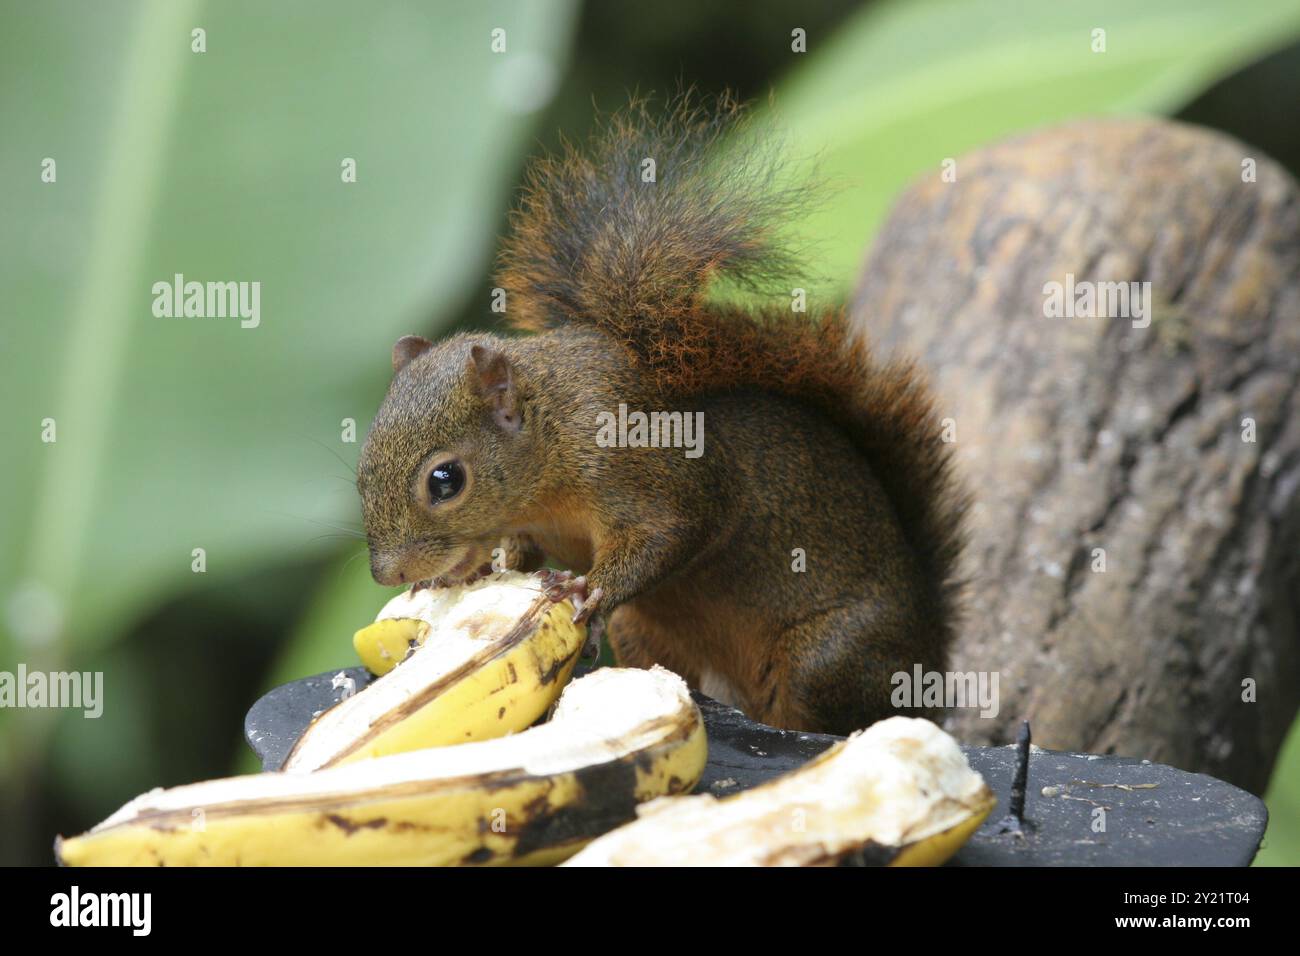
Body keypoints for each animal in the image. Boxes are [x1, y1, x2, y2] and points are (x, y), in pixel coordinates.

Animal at [356, 95, 967, 733]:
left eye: (445, 481)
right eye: (360, 474)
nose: (388, 573)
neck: (552, 434)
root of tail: (931, 656)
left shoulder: (642, 463)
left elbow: (674, 529)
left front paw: (586, 590)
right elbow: (518, 551)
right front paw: (467, 573)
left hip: (825, 660)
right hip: (647, 634)